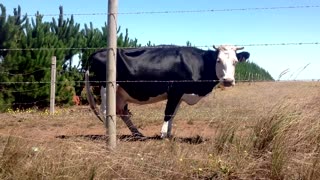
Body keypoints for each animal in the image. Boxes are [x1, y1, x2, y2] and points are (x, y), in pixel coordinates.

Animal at [85, 45, 250, 138]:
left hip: (120, 92)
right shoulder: (175, 90)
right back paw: (110, 133)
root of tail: (98, 52)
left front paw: (169, 133)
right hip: (106, 88)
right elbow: (168, 112)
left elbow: (173, 114)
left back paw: (137, 133)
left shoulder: (180, 95)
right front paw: (163, 134)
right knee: (106, 110)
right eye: (218, 60)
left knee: (122, 111)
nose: (228, 80)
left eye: (235, 62)